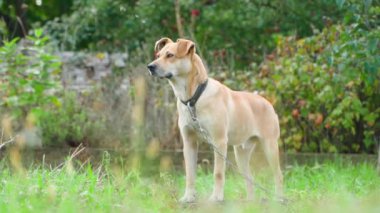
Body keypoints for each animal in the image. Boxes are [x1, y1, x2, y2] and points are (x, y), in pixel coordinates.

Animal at [147, 38, 284, 203]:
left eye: (170, 55)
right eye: (158, 55)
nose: (150, 67)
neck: (193, 98)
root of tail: (268, 103)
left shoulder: (219, 142)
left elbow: (218, 173)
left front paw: (216, 197)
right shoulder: (189, 142)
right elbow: (190, 173)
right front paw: (188, 197)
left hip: (270, 146)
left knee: (278, 175)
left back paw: (279, 199)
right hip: (241, 152)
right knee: (249, 177)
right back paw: (250, 201)